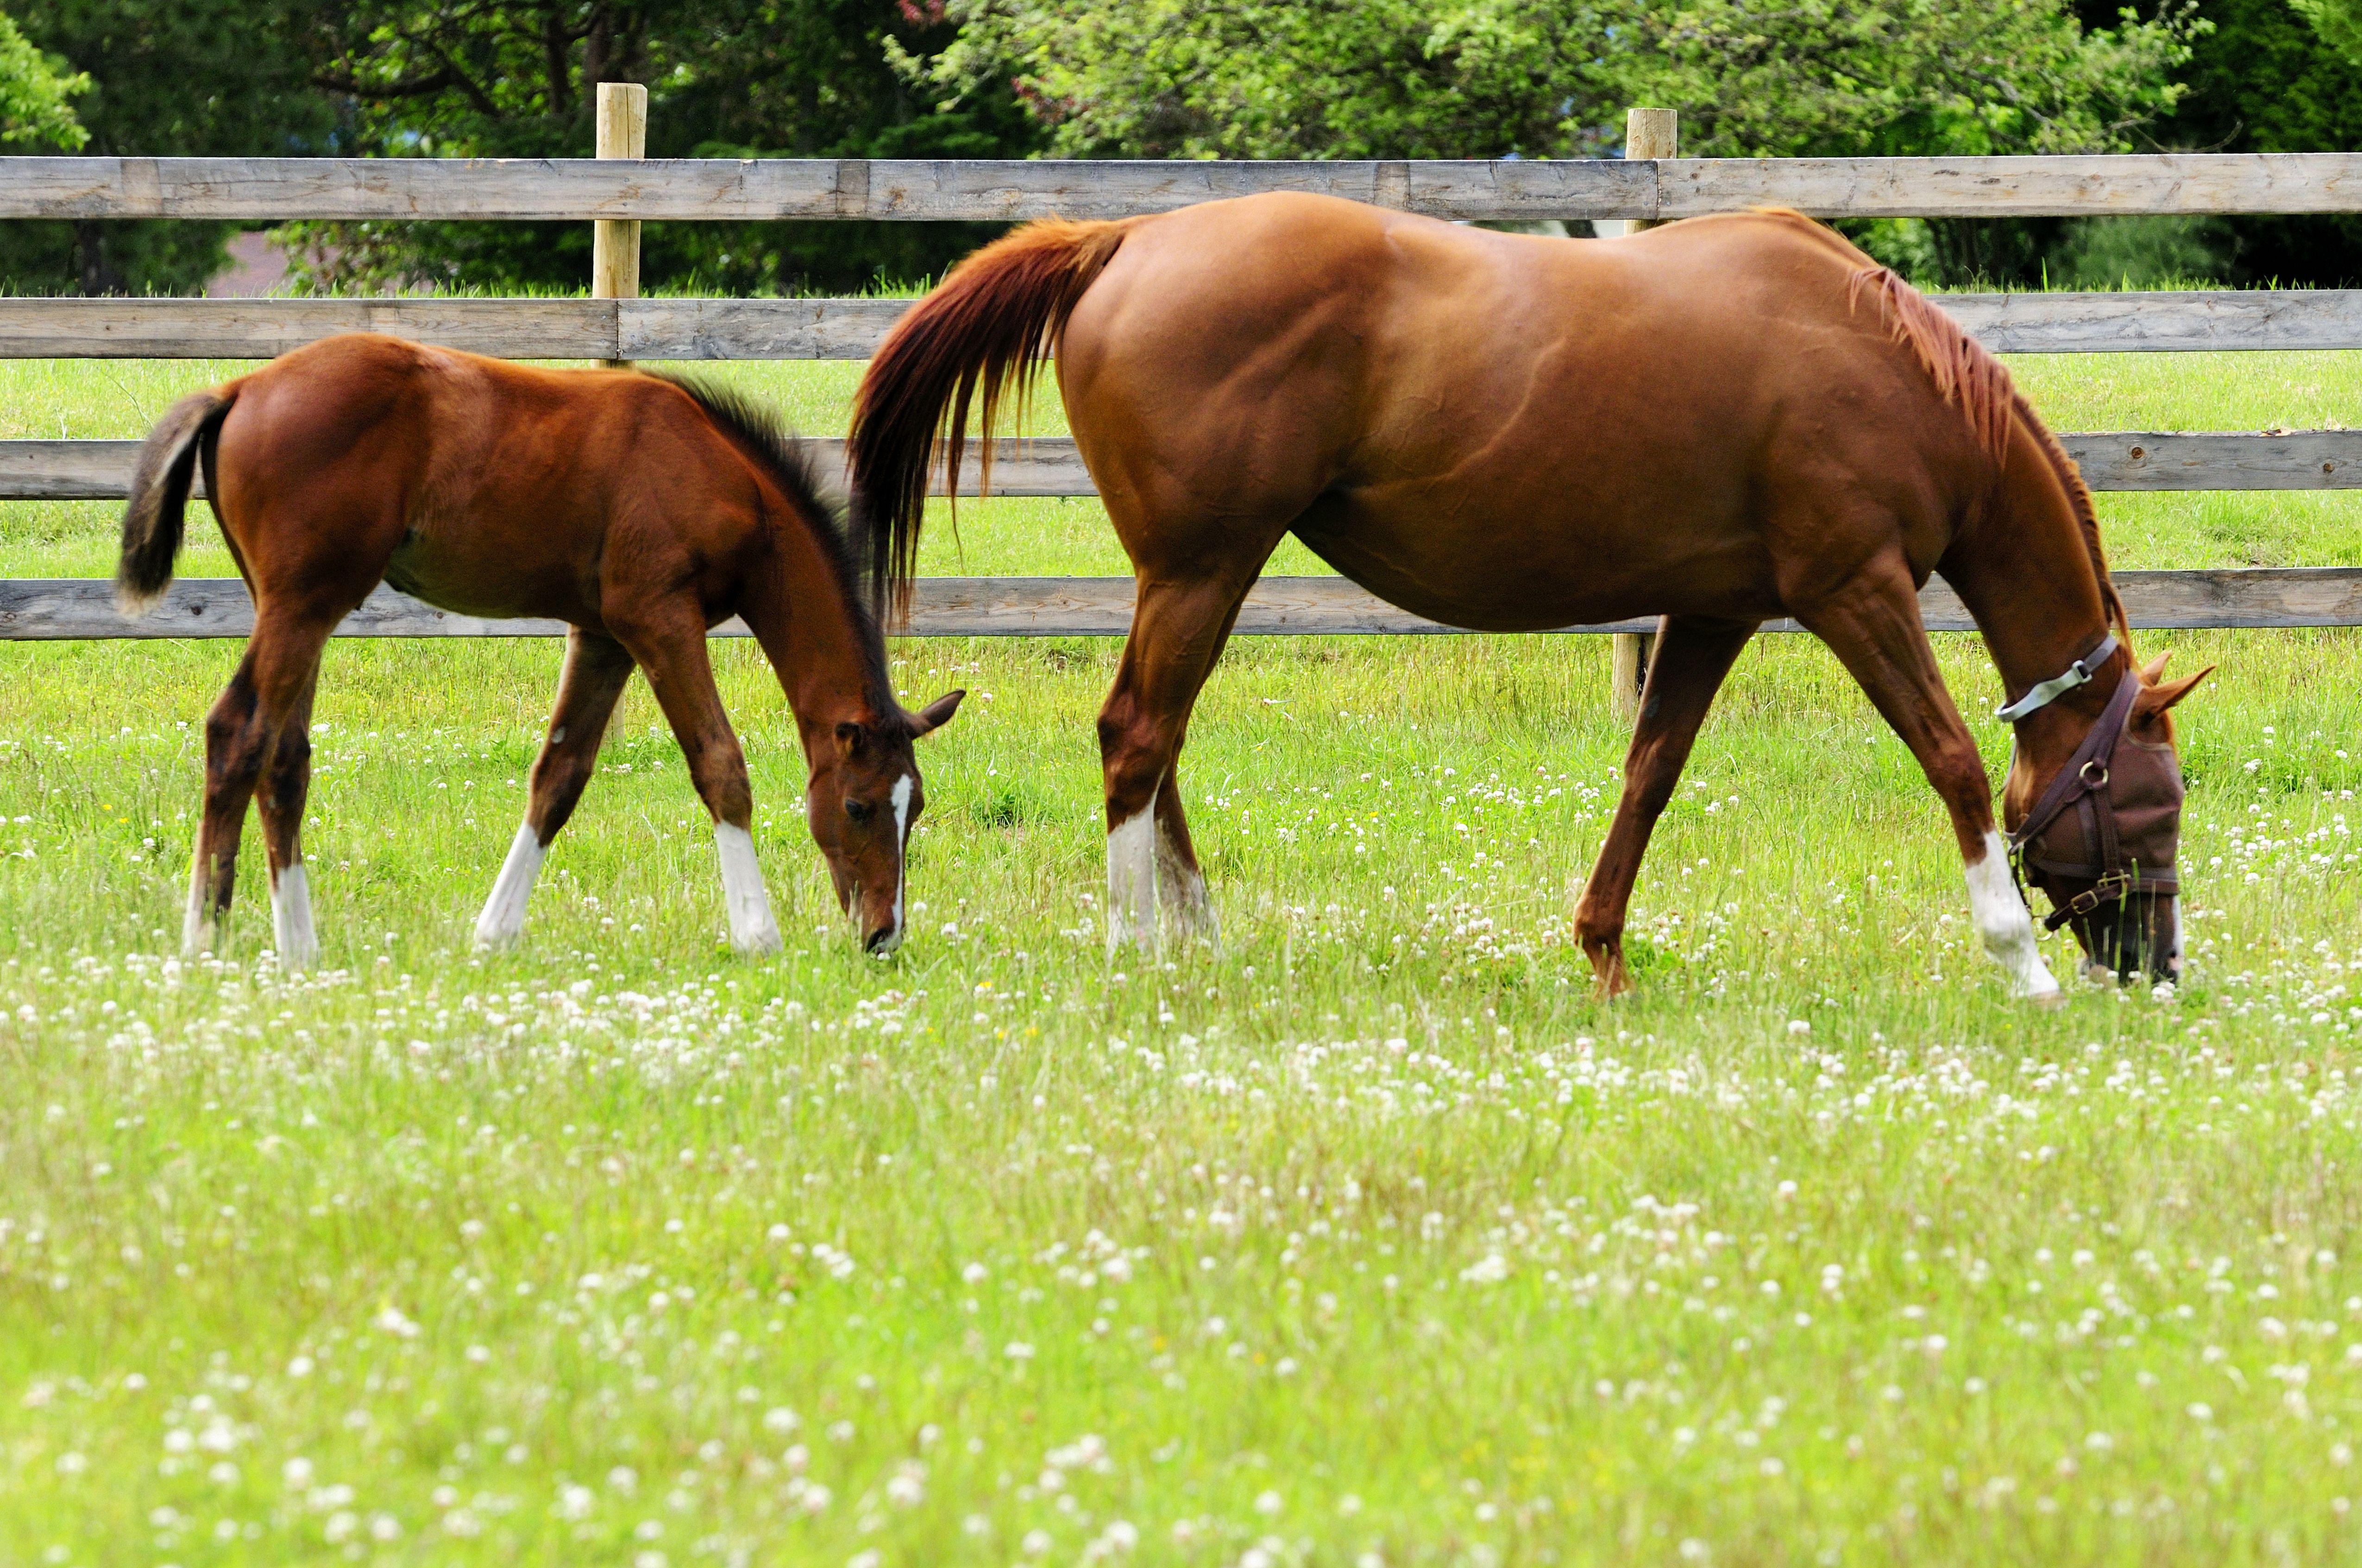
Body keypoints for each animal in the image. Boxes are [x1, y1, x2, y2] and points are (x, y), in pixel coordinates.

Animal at [115, 333, 963, 968]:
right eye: (856, 806)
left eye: (915, 805)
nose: (882, 935)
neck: (723, 476)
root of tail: (241, 387)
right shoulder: (661, 618)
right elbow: (721, 765)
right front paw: (758, 934)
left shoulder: (605, 635)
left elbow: (560, 776)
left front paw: (494, 933)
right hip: (301, 606)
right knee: (237, 734)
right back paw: (204, 940)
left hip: (299, 607)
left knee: (285, 759)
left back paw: (300, 949)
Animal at [855, 196, 2211, 996]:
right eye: (2151, 804)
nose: (2155, 969)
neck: (1880, 365)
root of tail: (1125, 238)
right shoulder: (1855, 591)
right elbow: (1951, 761)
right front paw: (2016, 963)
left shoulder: (1714, 611)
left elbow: (1649, 774)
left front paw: (1602, 956)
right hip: (1200, 570)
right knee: (1137, 733)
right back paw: (1141, 951)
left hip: (1199, 577)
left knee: (1158, 736)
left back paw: (1192, 935)